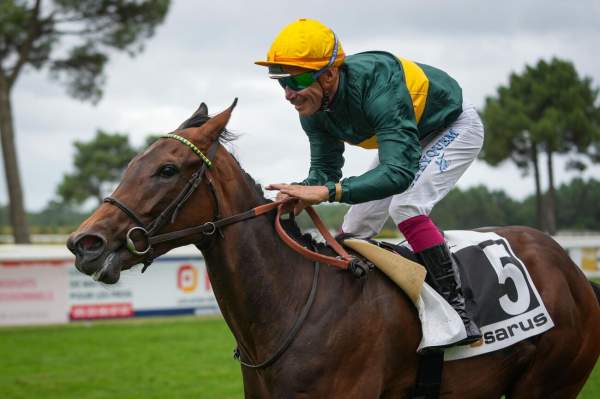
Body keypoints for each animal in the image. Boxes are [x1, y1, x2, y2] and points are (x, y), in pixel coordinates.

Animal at [68, 101, 596, 399]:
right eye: (133, 164)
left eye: (168, 170)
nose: (84, 243)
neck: (292, 304)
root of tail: (571, 268)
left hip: (550, 384)